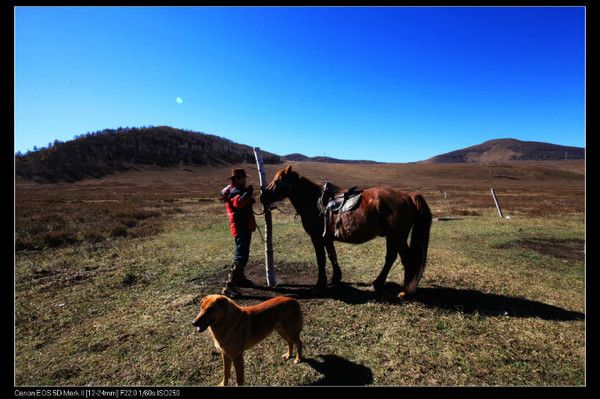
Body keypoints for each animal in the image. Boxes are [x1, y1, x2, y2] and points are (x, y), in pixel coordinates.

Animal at [260, 166, 434, 300]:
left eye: (278, 181)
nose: (262, 197)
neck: (313, 201)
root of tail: (409, 196)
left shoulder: (317, 238)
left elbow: (321, 259)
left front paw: (320, 285)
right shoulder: (326, 238)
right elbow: (332, 255)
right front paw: (336, 278)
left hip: (398, 237)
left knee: (407, 259)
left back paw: (405, 292)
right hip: (392, 237)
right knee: (391, 257)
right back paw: (378, 283)